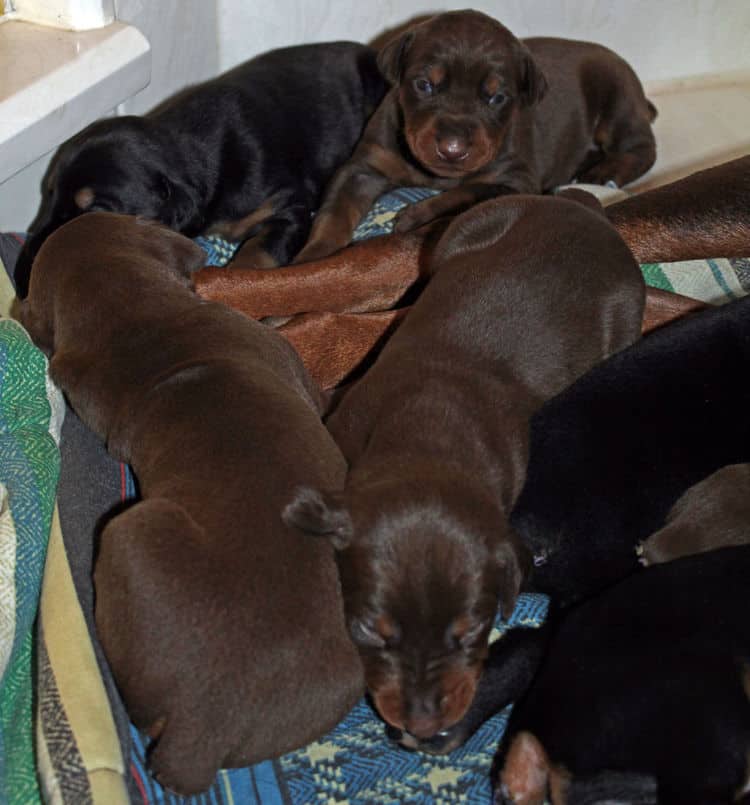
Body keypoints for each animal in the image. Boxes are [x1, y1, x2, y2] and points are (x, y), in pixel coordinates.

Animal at [282, 192, 648, 744]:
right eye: (367, 630)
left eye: (474, 629)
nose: (423, 722)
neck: (427, 438)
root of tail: (583, 207)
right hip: (466, 230)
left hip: (626, 313)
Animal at [296, 8, 656, 260]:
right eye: (424, 85)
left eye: (497, 98)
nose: (452, 149)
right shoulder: (367, 166)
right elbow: (334, 212)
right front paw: (313, 257)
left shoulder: (515, 178)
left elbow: (469, 191)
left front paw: (417, 214)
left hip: (616, 94)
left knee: (643, 148)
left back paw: (605, 170)